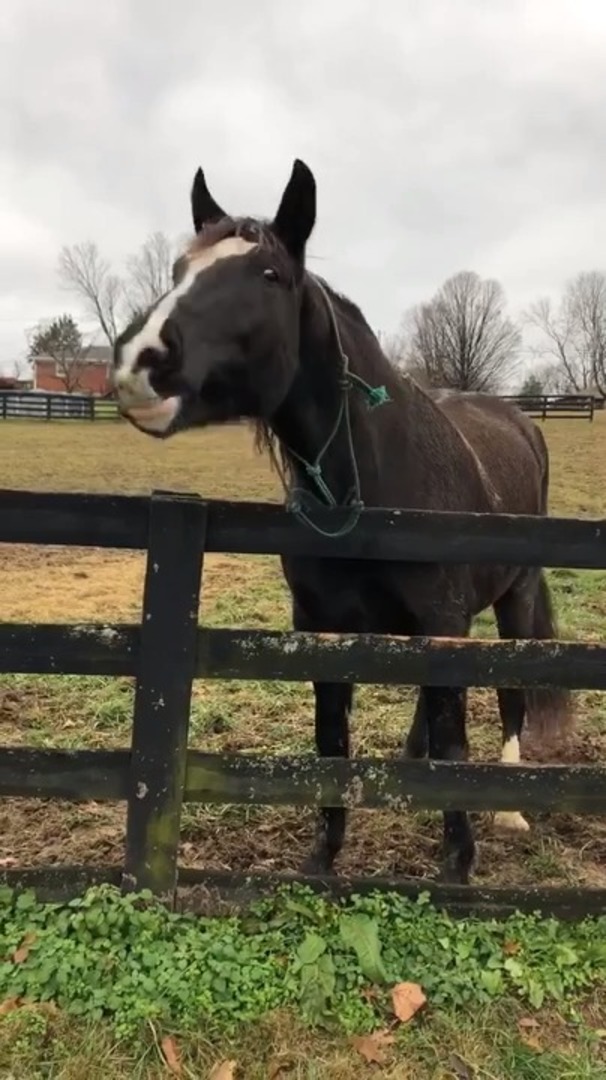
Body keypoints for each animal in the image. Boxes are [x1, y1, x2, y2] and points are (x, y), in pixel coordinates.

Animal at [112, 159, 572, 884]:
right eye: (180, 267)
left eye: (270, 274)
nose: (141, 363)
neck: (376, 492)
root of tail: (519, 420)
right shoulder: (323, 629)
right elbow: (333, 742)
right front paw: (323, 857)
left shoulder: (443, 623)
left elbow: (454, 735)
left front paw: (458, 864)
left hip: (515, 597)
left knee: (511, 693)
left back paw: (511, 810)